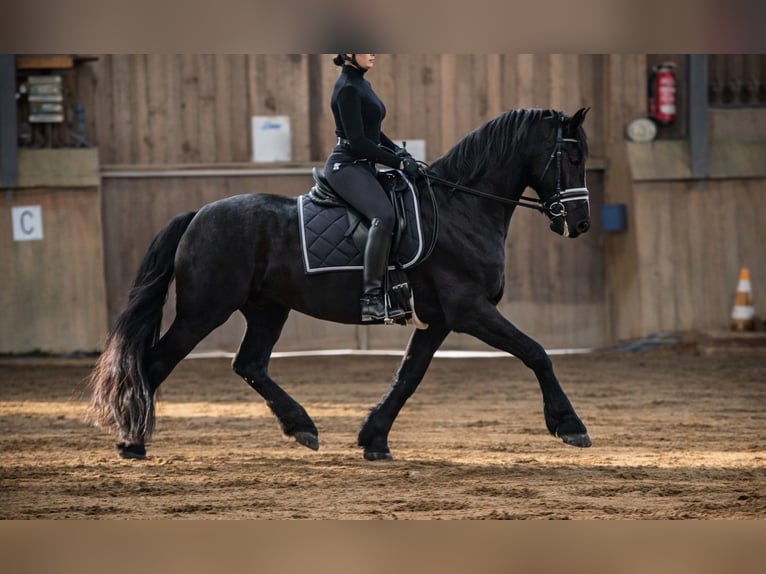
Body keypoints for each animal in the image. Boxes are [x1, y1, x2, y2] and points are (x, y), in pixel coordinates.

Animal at [88, 107, 593, 461]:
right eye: (570, 156)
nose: (582, 223)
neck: (460, 209)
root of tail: (198, 215)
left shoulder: (439, 320)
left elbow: (408, 376)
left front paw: (374, 438)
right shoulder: (470, 309)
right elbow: (536, 352)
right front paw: (570, 425)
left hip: (268, 308)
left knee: (250, 364)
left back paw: (302, 427)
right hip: (204, 311)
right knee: (155, 363)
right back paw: (132, 443)